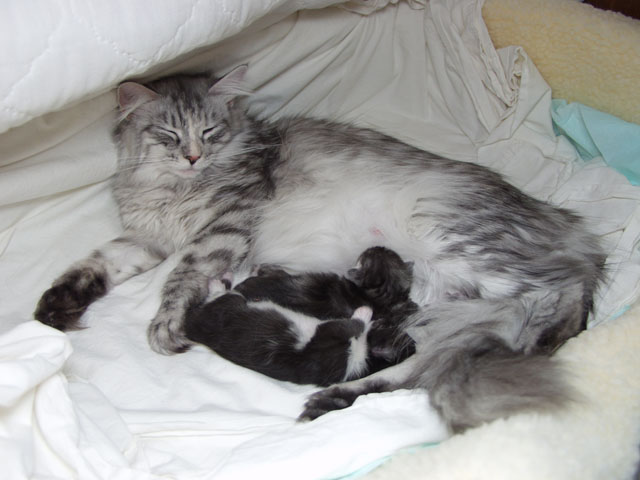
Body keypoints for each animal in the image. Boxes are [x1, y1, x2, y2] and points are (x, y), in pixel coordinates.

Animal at [184, 246, 417, 386]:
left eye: (366, 258)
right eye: (382, 253)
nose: (374, 246)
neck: (379, 296)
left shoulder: (329, 338)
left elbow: (352, 324)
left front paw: (364, 314)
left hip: (231, 303)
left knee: (221, 293)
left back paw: (222, 278)